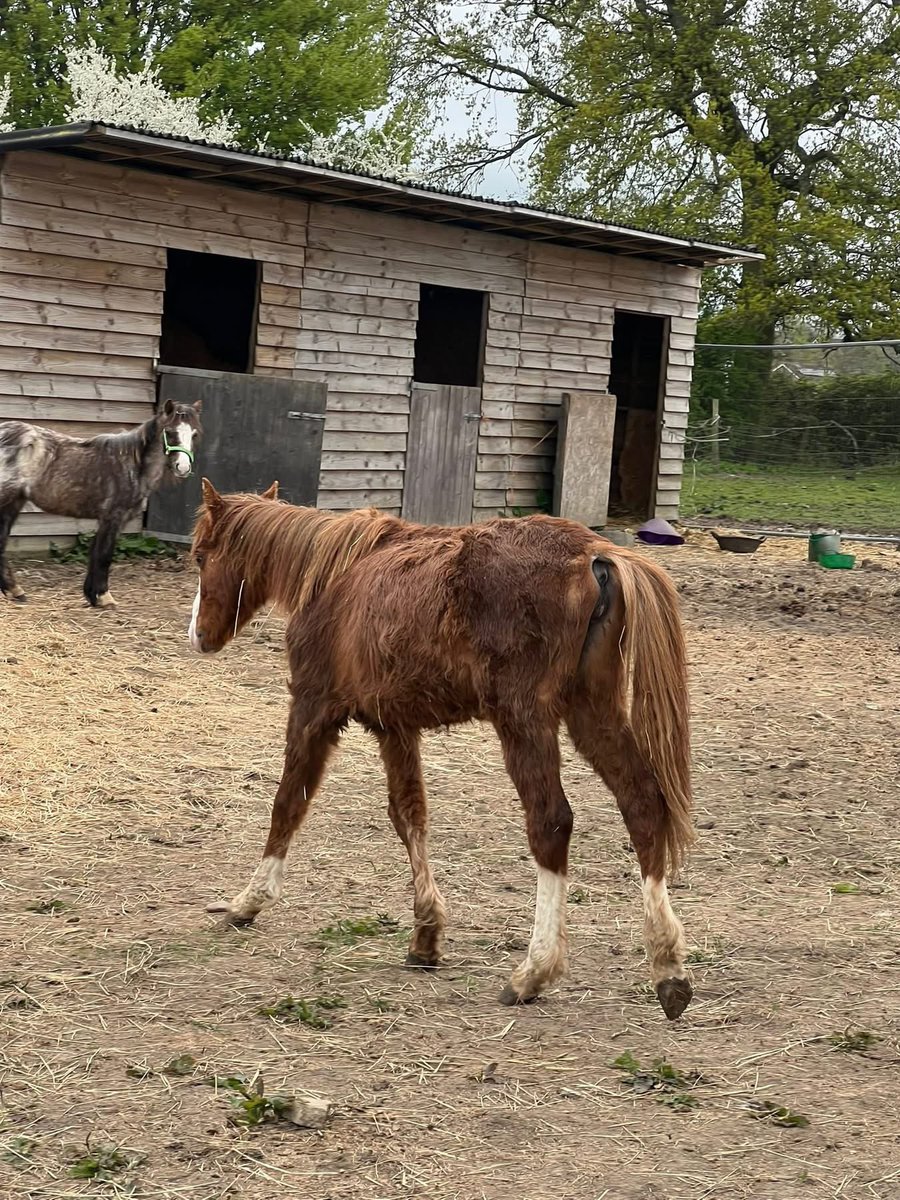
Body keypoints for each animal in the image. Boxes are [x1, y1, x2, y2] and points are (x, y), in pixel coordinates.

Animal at [0, 399, 202, 608]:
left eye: (194, 434)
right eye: (169, 432)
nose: (183, 467)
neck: (132, 465)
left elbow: (95, 552)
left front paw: (92, 596)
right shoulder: (113, 516)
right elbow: (104, 555)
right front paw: (104, 596)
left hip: (14, 502)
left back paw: (15, 591)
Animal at [188, 479, 695, 1019]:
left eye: (200, 556)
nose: (198, 635)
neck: (333, 575)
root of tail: (597, 553)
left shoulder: (313, 708)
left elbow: (288, 802)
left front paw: (248, 902)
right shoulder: (394, 727)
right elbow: (409, 816)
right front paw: (426, 936)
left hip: (526, 722)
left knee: (552, 822)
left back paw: (533, 972)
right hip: (591, 713)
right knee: (642, 803)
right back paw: (668, 969)